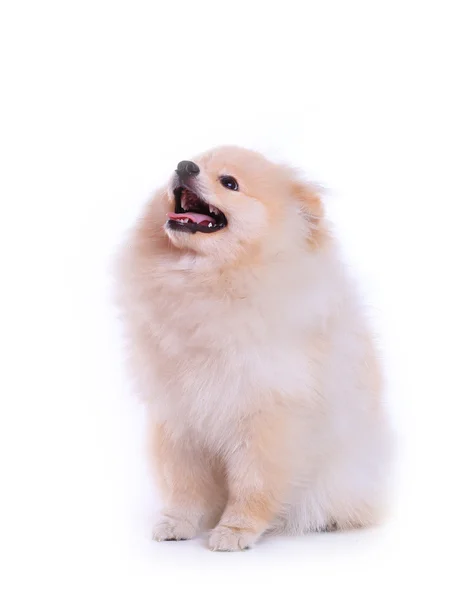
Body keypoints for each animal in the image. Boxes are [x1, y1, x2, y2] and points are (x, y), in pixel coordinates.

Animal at [118, 146, 392, 552]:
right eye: (194, 162)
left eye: (229, 183)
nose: (184, 166)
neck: (209, 282)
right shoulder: (179, 417)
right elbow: (185, 484)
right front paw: (178, 522)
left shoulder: (266, 417)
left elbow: (254, 484)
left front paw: (235, 530)